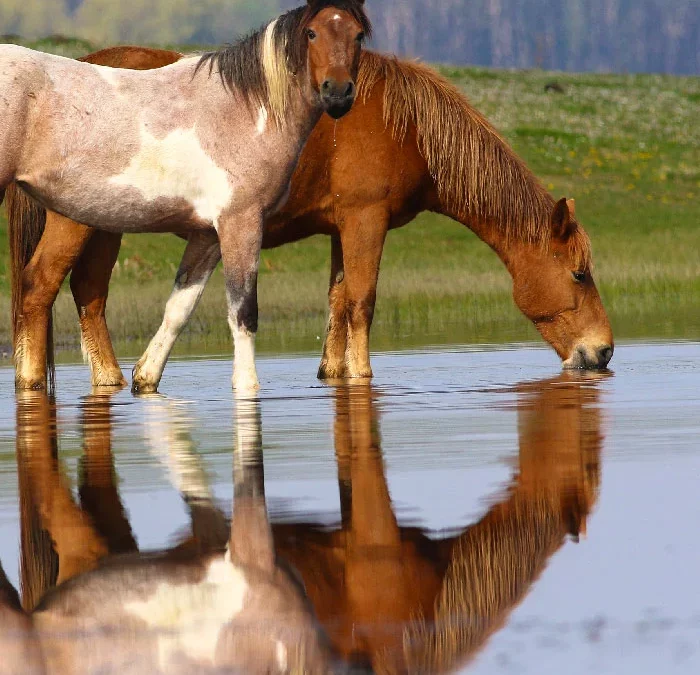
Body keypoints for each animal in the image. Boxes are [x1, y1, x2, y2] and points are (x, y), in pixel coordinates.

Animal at [0, 0, 371, 394]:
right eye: (312, 33)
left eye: (357, 35)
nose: (338, 92)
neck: (245, 109)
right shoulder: (240, 222)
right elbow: (243, 310)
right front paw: (247, 385)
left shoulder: (206, 235)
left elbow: (179, 307)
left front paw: (145, 378)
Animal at [7, 45, 614, 394]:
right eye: (580, 273)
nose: (604, 352)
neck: (407, 126)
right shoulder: (366, 222)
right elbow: (362, 302)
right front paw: (364, 376)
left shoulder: (342, 230)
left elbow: (338, 302)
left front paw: (333, 373)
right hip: (77, 222)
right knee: (39, 287)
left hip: (104, 224)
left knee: (87, 294)